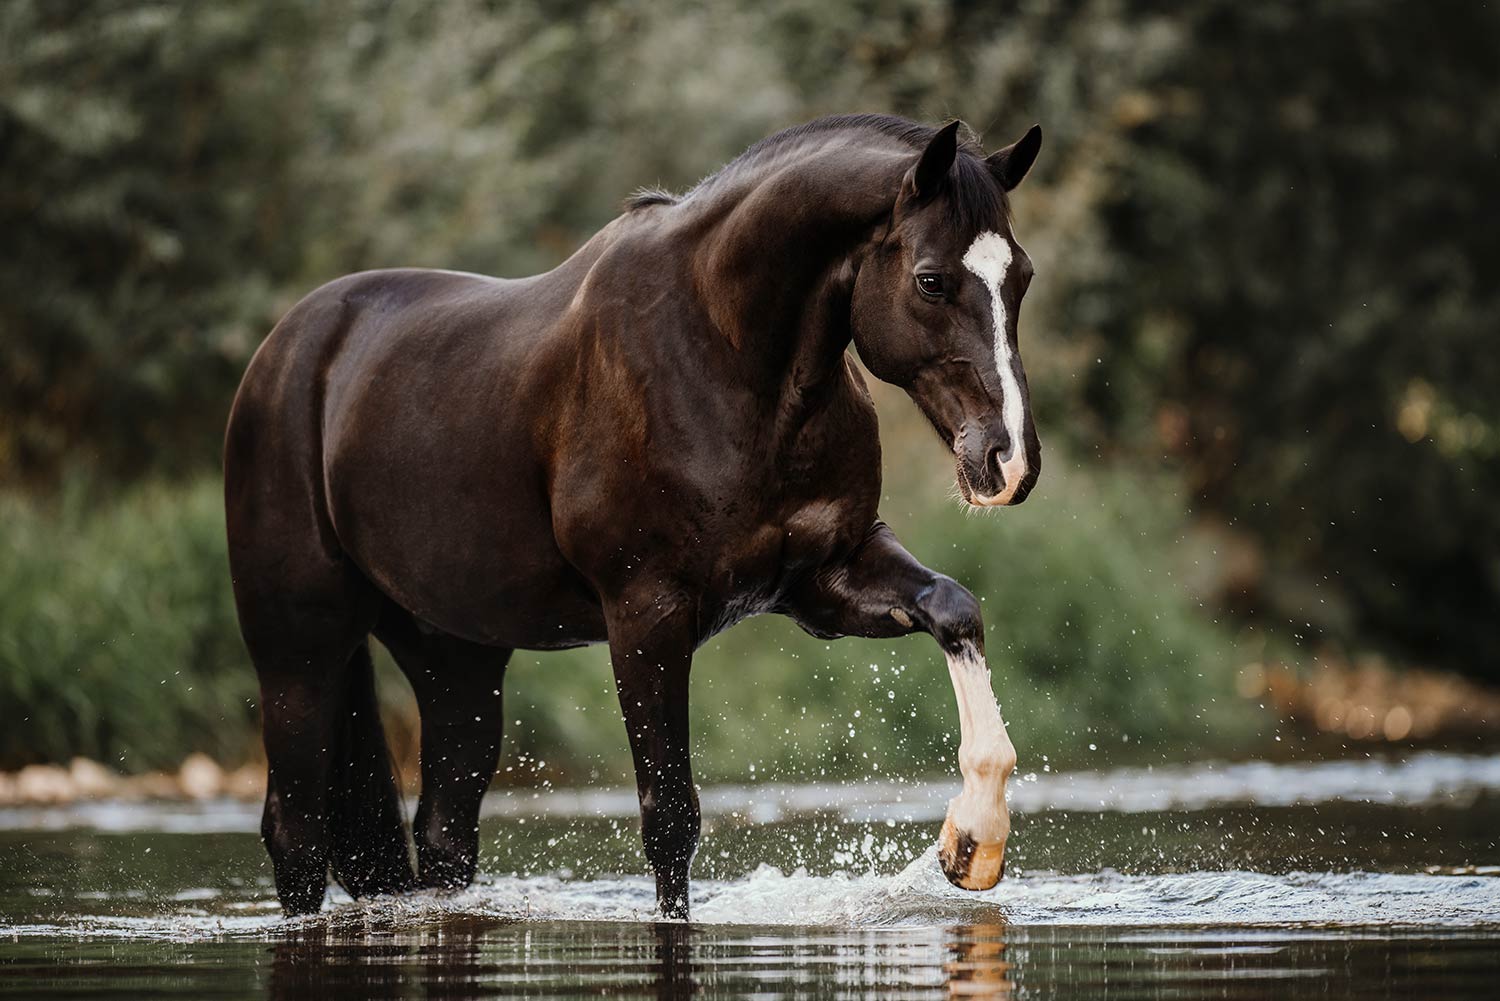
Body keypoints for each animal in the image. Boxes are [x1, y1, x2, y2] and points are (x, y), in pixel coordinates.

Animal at [224, 113, 1043, 918]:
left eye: (1021, 277)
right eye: (931, 280)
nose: (1009, 461)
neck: (727, 356)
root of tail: (287, 351)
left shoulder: (827, 580)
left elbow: (952, 607)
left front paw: (973, 838)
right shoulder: (647, 618)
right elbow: (671, 822)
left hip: (453, 659)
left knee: (444, 832)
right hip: (298, 652)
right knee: (295, 831)